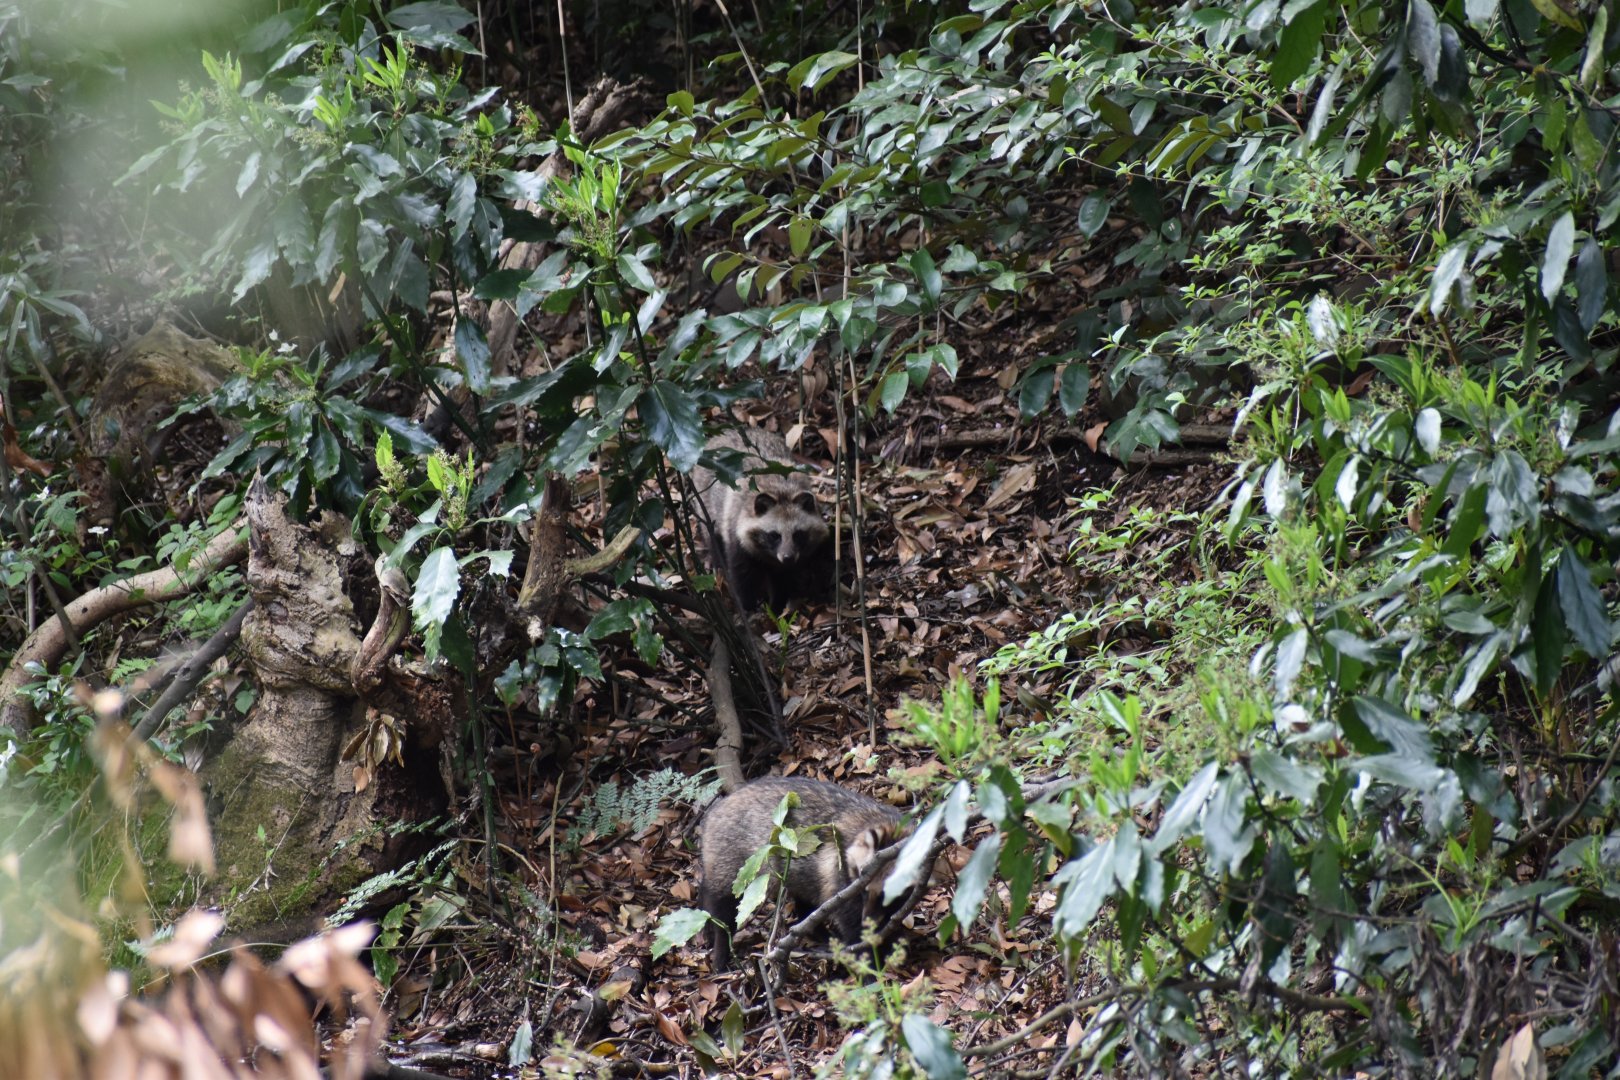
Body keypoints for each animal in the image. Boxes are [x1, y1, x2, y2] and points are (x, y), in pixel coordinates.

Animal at [689, 428, 831, 612]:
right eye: (774, 535)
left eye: (798, 534)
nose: (788, 557)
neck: (781, 492)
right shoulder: (736, 533)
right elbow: (741, 575)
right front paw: (747, 606)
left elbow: (783, 578)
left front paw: (777, 605)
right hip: (704, 498)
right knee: (711, 533)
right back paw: (716, 560)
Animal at [698, 776, 904, 971]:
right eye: (866, 888)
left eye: (888, 895)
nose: (868, 921)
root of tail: (715, 811)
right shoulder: (841, 875)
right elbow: (850, 922)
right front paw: (869, 959)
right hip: (734, 859)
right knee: (724, 905)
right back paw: (721, 947)